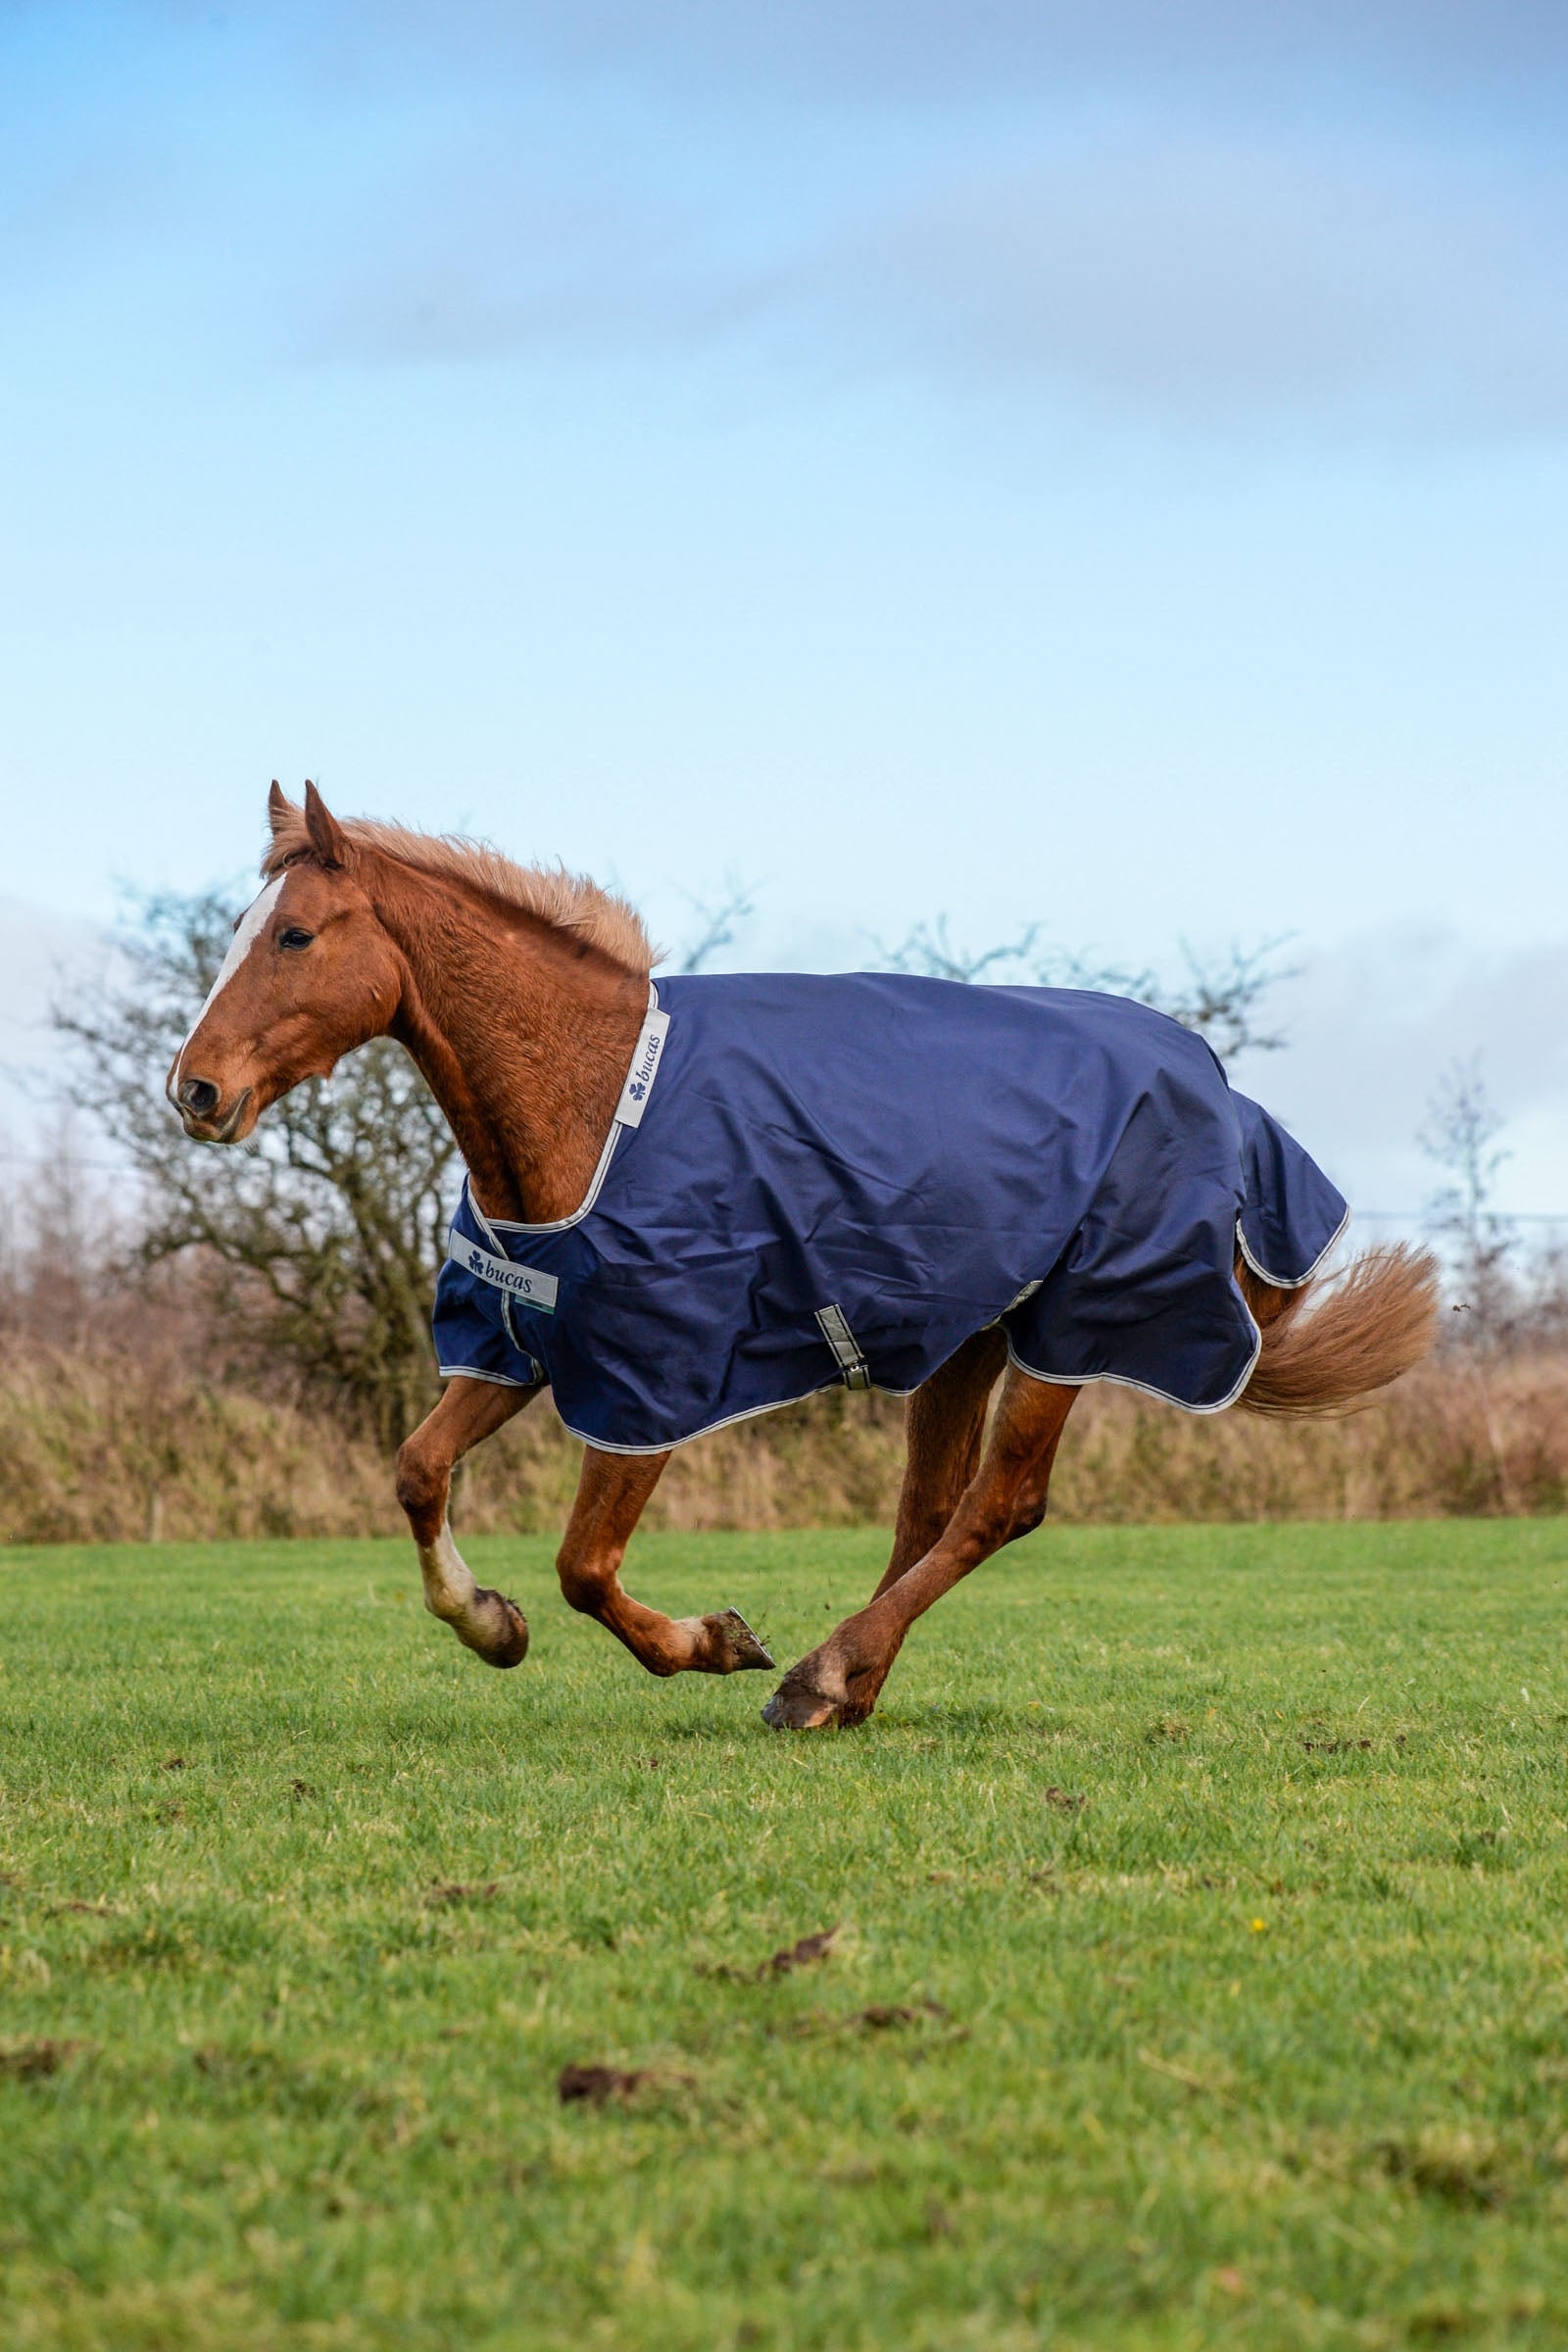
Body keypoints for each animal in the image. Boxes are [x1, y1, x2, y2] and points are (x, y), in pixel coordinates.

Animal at [168, 782, 1438, 1730]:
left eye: (293, 934)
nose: (195, 1090)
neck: (596, 1105)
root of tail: (1225, 1098)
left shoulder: (652, 1379)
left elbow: (585, 1565)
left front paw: (712, 1641)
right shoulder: (520, 1344)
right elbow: (416, 1472)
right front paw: (492, 1625)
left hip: (1075, 1331)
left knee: (999, 1505)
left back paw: (819, 1675)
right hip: (968, 1337)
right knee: (930, 1511)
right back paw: (847, 1685)